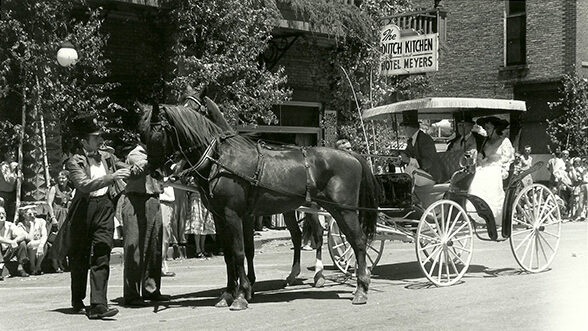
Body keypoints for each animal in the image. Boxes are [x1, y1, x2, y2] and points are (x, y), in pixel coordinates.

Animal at [142, 104, 378, 312]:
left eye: (157, 133)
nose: (153, 172)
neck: (219, 159)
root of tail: (351, 155)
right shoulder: (220, 217)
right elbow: (229, 255)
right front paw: (228, 294)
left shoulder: (233, 215)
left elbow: (239, 253)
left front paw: (240, 296)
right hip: (322, 210)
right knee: (324, 239)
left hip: (343, 210)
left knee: (357, 241)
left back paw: (360, 288)